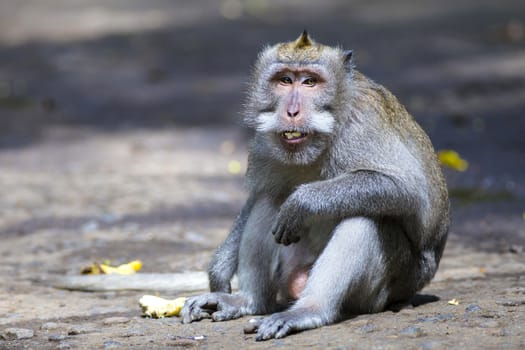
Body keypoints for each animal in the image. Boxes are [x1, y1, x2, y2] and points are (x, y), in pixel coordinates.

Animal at [179, 31, 446, 340]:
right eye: (285, 80)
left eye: (310, 82)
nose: (292, 111)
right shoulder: (263, 143)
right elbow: (258, 194)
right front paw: (220, 270)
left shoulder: (364, 124)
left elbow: (406, 189)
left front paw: (303, 201)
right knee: (270, 199)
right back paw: (250, 301)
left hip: (392, 285)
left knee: (365, 218)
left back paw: (309, 310)